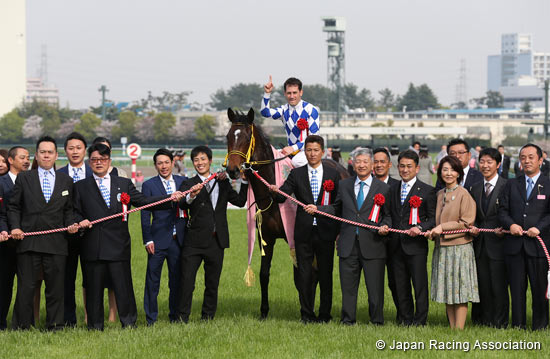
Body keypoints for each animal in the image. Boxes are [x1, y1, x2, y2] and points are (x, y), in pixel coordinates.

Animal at [224, 107, 350, 320]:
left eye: (247, 137)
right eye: (227, 137)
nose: (232, 170)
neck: (272, 194)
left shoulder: (295, 236)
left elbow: (300, 276)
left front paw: (306, 310)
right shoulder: (265, 237)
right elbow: (264, 274)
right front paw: (264, 312)